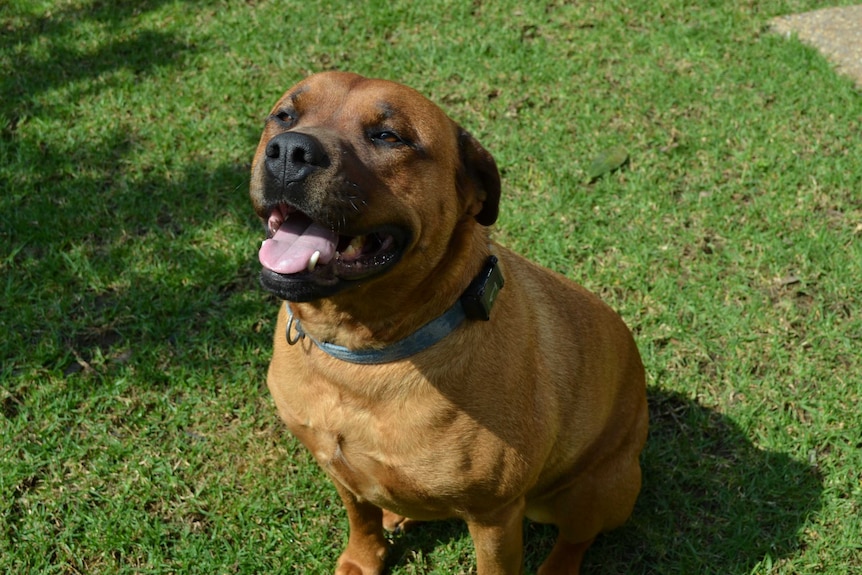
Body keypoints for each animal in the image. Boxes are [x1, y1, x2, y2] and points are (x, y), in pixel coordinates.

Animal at [250, 73, 648, 575]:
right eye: (284, 115)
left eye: (388, 136)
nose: (289, 151)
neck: (359, 355)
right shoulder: (335, 465)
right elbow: (360, 516)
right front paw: (363, 558)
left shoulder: (494, 516)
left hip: (598, 489)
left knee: (575, 539)